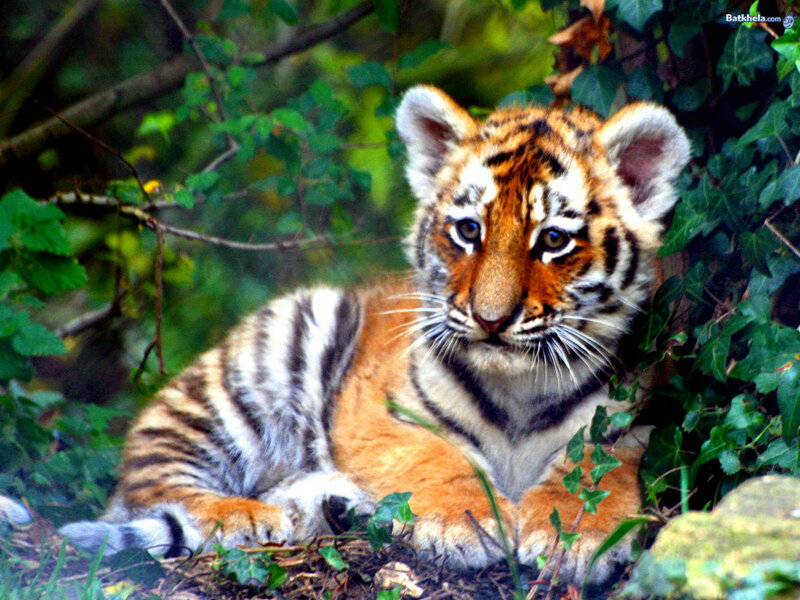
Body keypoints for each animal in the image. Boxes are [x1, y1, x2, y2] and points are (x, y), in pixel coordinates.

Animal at [38, 85, 688, 583]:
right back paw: (247, 515)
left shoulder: (630, 418)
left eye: (553, 240)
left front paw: (571, 535)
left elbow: (595, 469)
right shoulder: (383, 411)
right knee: (151, 479)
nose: (490, 319)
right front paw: (468, 522)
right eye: (468, 231)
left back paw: (329, 506)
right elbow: (436, 456)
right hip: (254, 367)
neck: (519, 390)